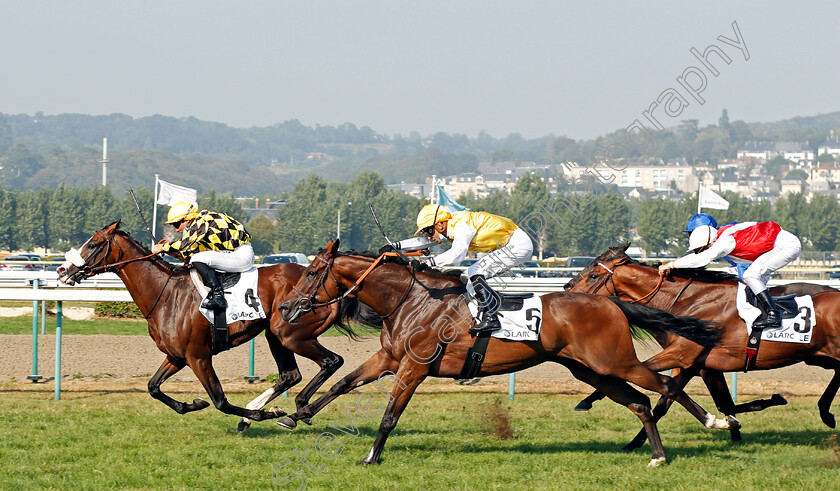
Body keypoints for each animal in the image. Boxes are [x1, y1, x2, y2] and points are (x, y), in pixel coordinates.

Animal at [54, 221, 378, 432]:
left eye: (93, 244)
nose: (62, 270)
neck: (166, 293)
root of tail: (332, 284)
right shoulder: (176, 356)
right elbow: (153, 387)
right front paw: (192, 405)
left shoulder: (198, 356)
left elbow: (220, 400)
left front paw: (258, 415)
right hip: (274, 334)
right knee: (290, 375)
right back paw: (269, 411)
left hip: (290, 333)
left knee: (331, 361)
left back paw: (296, 409)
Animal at [278, 242, 736, 468]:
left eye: (313, 272)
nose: (285, 307)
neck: (410, 299)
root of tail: (610, 302)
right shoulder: (390, 360)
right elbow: (343, 383)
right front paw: (294, 415)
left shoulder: (413, 367)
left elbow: (390, 414)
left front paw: (371, 456)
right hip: (590, 370)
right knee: (640, 401)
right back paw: (657, 455)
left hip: (615, 361)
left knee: (666, 384)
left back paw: (716, 422)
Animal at [560, 244, 840, 452]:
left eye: (593, 275)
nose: (567, 290)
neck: (692, 301)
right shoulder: (694, 365)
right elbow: (671, 401)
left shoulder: (682, 355)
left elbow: (641, 373)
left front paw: (587, 400)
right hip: (821, 356)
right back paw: (825, 412)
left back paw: (825, 413)